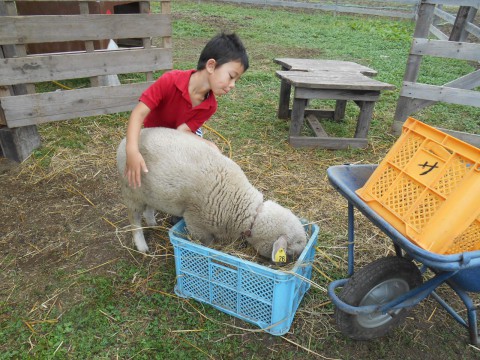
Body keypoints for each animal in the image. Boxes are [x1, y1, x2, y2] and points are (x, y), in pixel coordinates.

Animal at [118, 127, 310, 262]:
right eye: (294, 247)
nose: (293, 262)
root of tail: (125, 141)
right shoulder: (196, 222)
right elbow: (206, 242)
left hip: (148, 192)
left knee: (149, 208)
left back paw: (152, 223)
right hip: (130, 192)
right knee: (134, 220)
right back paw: (142, 246)